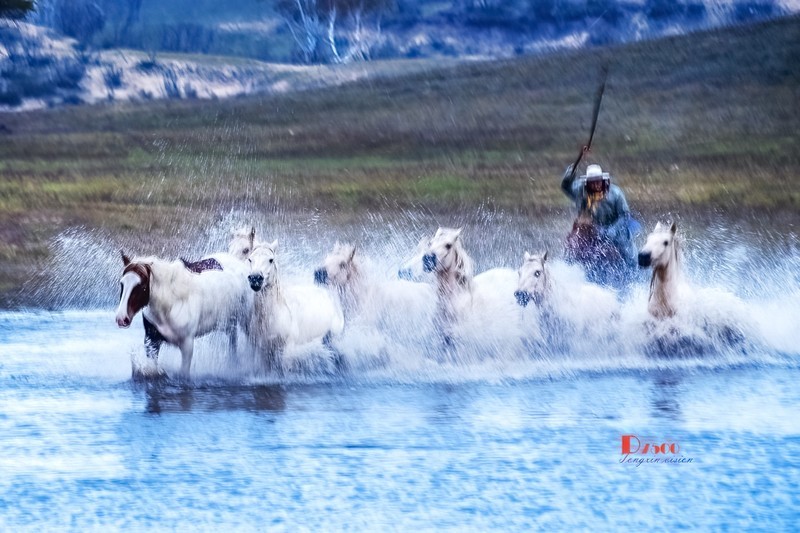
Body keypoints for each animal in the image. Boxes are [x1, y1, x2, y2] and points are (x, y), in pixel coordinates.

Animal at [115, 251, 253, 379]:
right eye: (122, 284)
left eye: (142, 286)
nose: (121, 318)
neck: (171, 303)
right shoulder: (151, 340)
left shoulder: (187, 344)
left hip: (245, 320)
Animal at [246, 241, 344, 370]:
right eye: (250, 259)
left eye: (271, 260)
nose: (255, 279)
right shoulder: (263, 352)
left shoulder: (286, 352)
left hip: (334, 338)